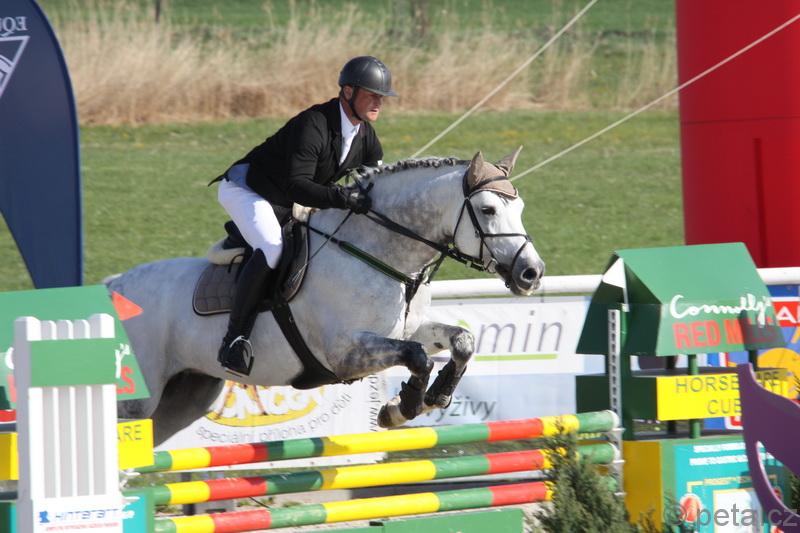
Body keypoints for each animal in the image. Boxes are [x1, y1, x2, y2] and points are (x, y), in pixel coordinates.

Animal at [108, 149, 545, 444]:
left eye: (521, 206)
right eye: (487, 209)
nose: (531, 273)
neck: (379, 251)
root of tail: (114, 285)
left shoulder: (407, 328)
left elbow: (461, 340)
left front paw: (431, 396)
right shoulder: (346, 353)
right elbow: (417, 357)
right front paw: (402, 407)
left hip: (185, 396)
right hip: (135, 403)